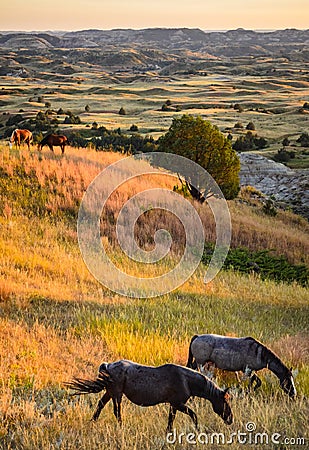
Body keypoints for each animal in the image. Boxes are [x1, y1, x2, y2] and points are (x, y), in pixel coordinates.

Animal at [66, 358, 232, 432]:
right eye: (225, 402)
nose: (230, 419)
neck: (186, 380)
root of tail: (108, 365)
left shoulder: (174, 405)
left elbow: (171, 419)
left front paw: (168, 432)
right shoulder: (178, 404)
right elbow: (193, 415)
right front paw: (197, 429)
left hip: (110, 392)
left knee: (100, 405)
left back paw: (92, 422)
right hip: (117, 394)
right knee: (116, 411)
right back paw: (121, 427)